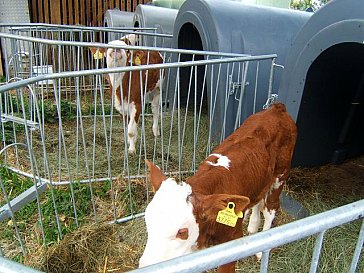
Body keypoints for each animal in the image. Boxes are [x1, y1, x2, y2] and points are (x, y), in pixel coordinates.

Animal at [139, 102, 296, 272]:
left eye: (182, 232)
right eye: (147, 220)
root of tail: (277, 108)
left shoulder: (231, 242)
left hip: (281, 175)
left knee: (270, 209)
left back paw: (262, 248)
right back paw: (253, 227)